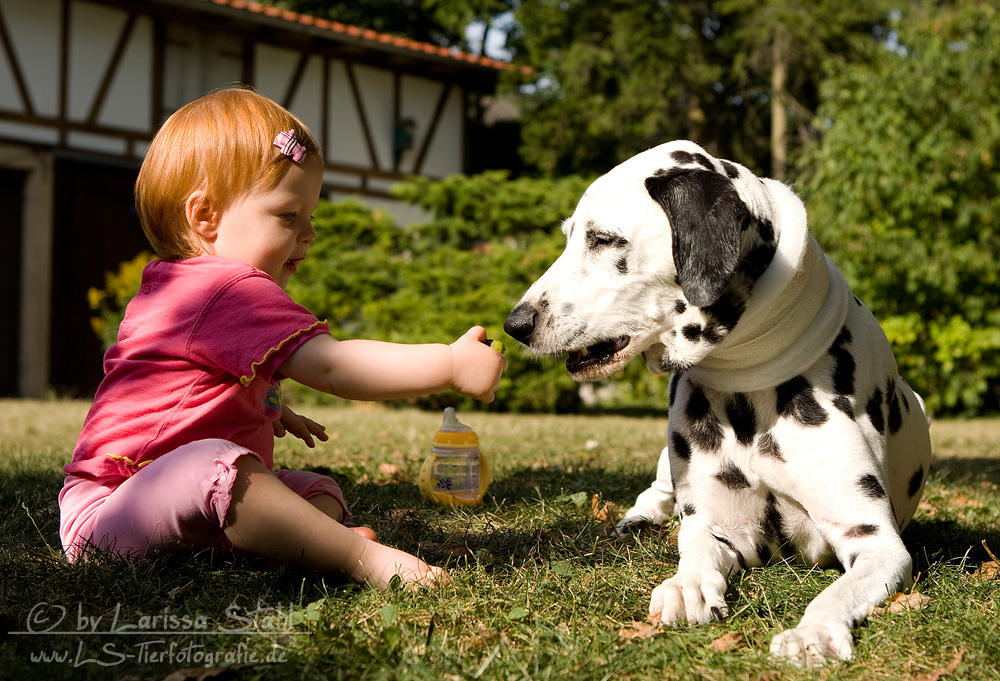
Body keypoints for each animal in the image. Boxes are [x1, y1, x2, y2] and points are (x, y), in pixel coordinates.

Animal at [504, 139, 932, 664]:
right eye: (569, 238)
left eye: (604, 239)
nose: (515, 323)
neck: (749, 391)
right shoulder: (719, 527)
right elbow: (695, 549)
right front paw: (686, 584)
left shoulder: (877, 542)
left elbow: (837, 592)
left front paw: (814, 630)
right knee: (658, 492)